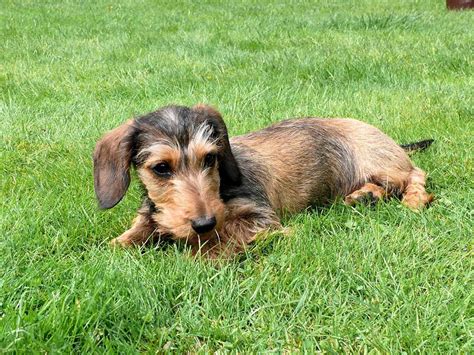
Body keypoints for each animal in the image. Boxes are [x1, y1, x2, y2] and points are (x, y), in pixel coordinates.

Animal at [92, 104, 434, 258]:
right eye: (161, 168)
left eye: (210, 158)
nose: (204, 223)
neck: (221, 190)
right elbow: (135, 231)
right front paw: (112, 246)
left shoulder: (261, 217)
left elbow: (226, 236)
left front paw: (203, 255)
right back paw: (365, 195)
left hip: (381, 161)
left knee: (416, 175)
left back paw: (413, 200)